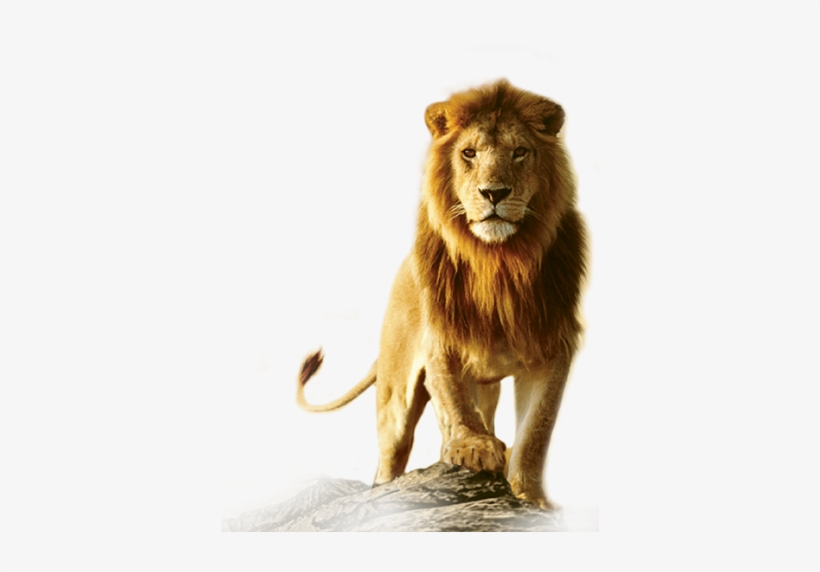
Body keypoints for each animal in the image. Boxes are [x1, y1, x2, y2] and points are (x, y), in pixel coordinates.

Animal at [297, 79, 587, 510]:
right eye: (468, 153)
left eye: (520, 152)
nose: (495, 193)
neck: (497, 264)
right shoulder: (442, 342)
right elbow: (453, 401)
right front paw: (472, 448)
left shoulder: (552, 346)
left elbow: (536, 432)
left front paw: (531, 497)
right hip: (395, 400)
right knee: (391, 457)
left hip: (488, 388)